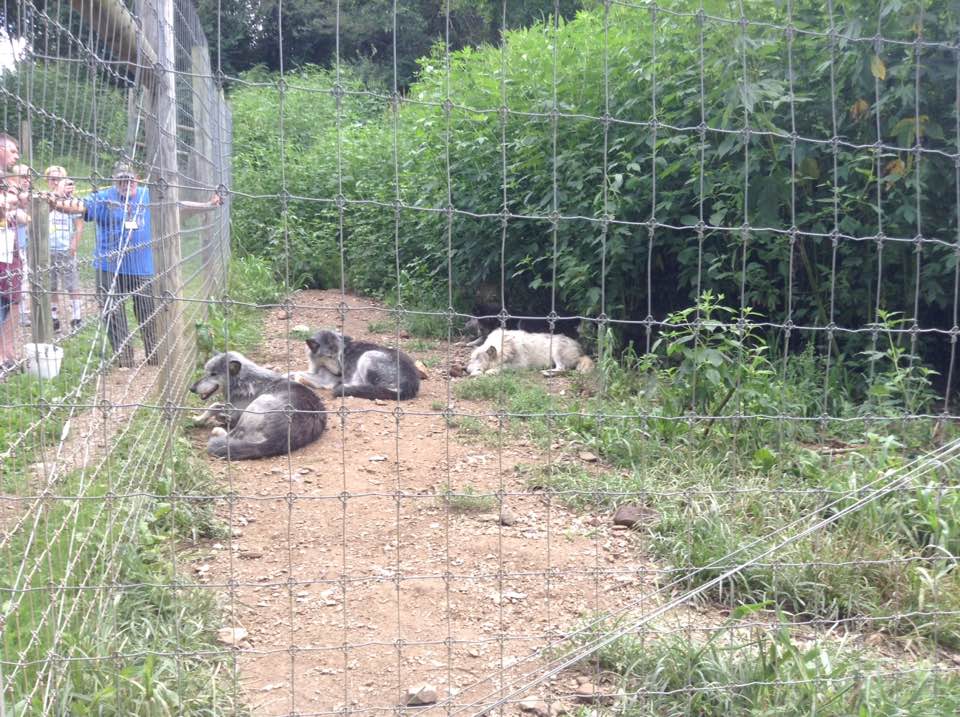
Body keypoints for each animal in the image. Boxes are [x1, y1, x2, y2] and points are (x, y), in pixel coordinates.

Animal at [189, 351, 327, 460]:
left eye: (213, 374)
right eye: (205, 372)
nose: (191, 388)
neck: (243, 381)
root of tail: (277, 440)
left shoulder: (235, 413)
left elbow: (214, 406)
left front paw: (197, 420)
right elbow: (215, 406)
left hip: (257, 403)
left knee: (232, 435)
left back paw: (218, 431)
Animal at [466, 328, 594, 376]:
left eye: (478, 359)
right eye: (471, 358)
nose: (466, 370)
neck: (506, 345)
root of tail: (581, 351)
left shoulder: (521, 365)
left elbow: (503, 366)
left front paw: (490, 371)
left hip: (555, 350)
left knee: (562, 369)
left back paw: (547, 373)